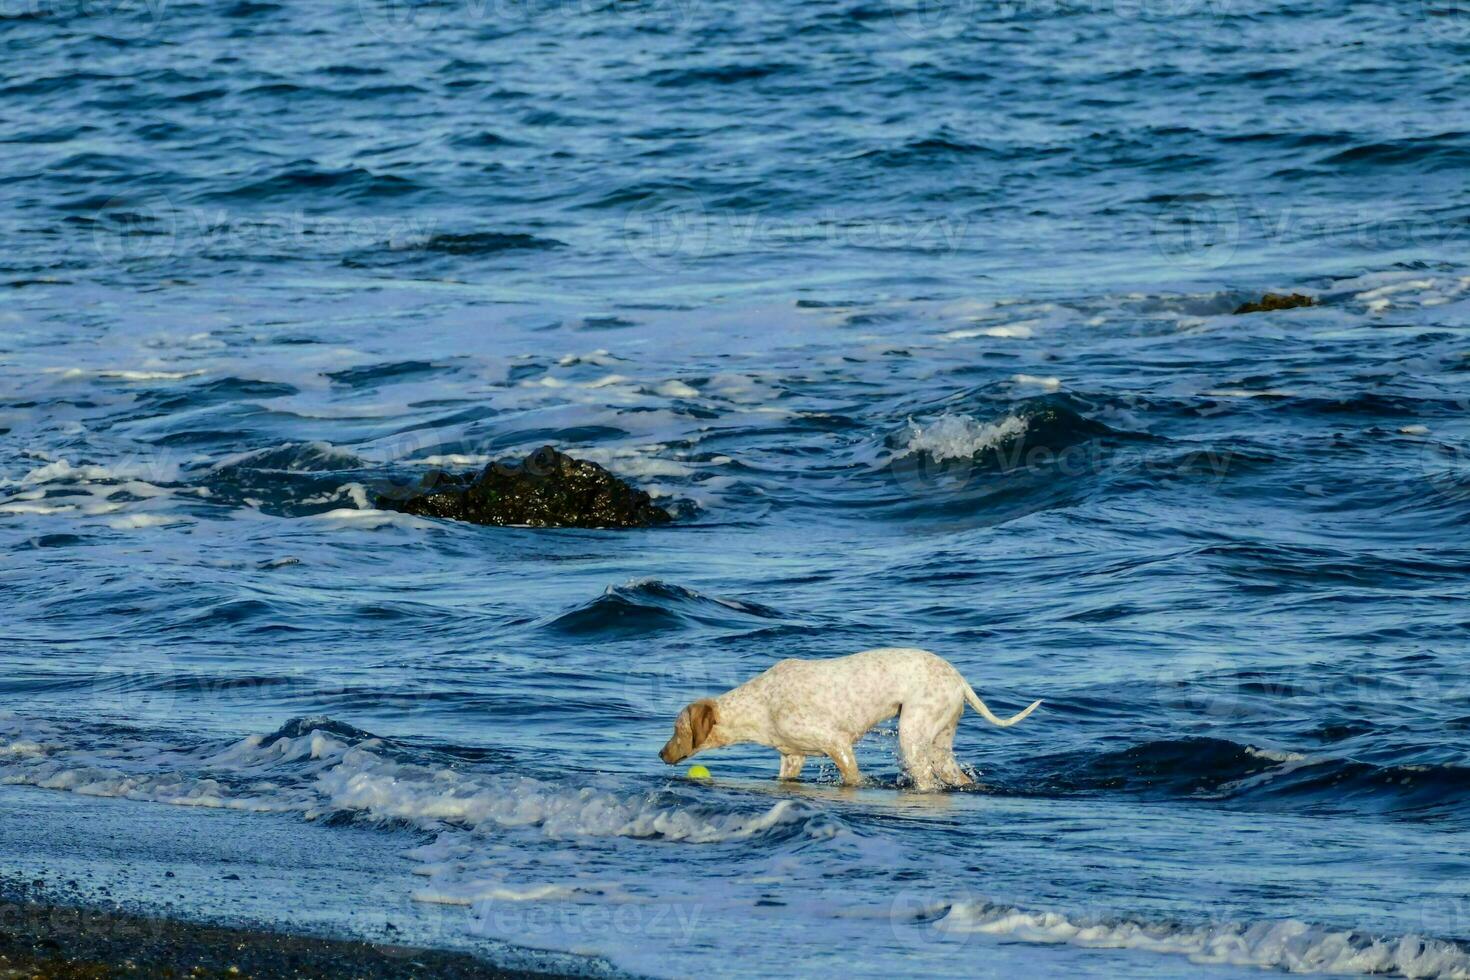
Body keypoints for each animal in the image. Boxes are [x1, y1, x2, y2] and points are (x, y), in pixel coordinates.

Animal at [661, 646, 1040, 793]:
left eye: (677, 729)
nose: (660, 754)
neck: (760, 704)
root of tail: (957, 678)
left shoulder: (837, 743)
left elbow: (851, 777)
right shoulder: (792, 758)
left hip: (912, 736)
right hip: (938, 745)